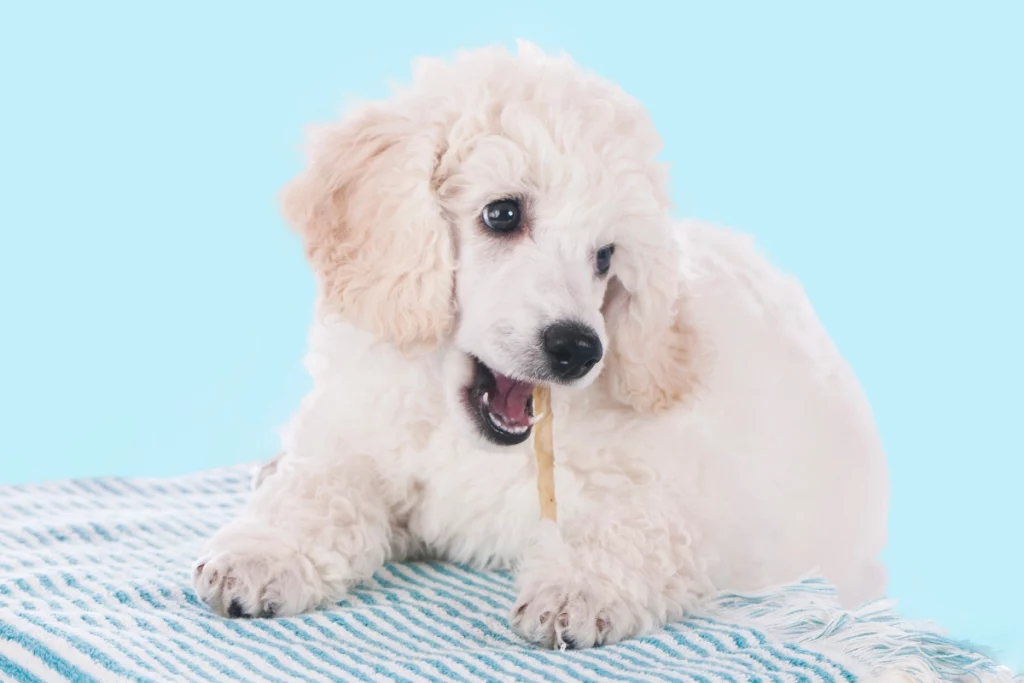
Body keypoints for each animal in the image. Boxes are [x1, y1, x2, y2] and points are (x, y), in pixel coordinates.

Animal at [192, 41, 888, 651]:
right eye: (502, 214)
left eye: (605, 257)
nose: (579, 349)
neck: (467, 441)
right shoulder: (359, 433)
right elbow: (321, 485)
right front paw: (263, 554)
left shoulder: (693, 500)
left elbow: (641, 528)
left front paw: (579, 591)